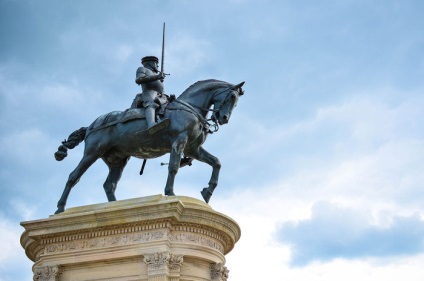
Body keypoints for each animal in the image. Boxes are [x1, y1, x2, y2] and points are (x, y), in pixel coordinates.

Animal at [53, 77, 245, 213]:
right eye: (231, 97)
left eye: (236, 102)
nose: (223, 118)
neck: (190, 108)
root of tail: (91, 125)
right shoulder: (179, 141)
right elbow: (173, 167)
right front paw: (170, 192)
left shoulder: (193, 149)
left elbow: (216, 162)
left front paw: (207, 191)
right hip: (92, 152)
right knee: (73, 176)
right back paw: (60, 208)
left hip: (117, 159)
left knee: (109, 184)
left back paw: (116, 207)